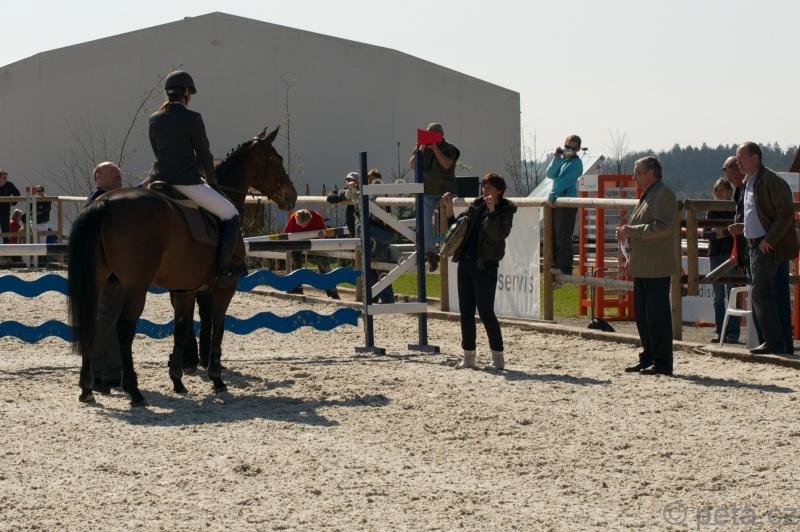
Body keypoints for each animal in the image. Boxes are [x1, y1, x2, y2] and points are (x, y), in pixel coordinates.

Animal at [67, 127, 297, 406]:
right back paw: (134, 391)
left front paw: (177, 380)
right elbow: (217, 328)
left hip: (99, 281)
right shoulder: (225, 287)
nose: (292, 196)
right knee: (123, 329)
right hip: (135, 286)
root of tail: (104, 203)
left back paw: (87, 388)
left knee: (94, 325)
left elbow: (181, 329)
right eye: (276, 160)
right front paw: (216, 379)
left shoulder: (184, 289)